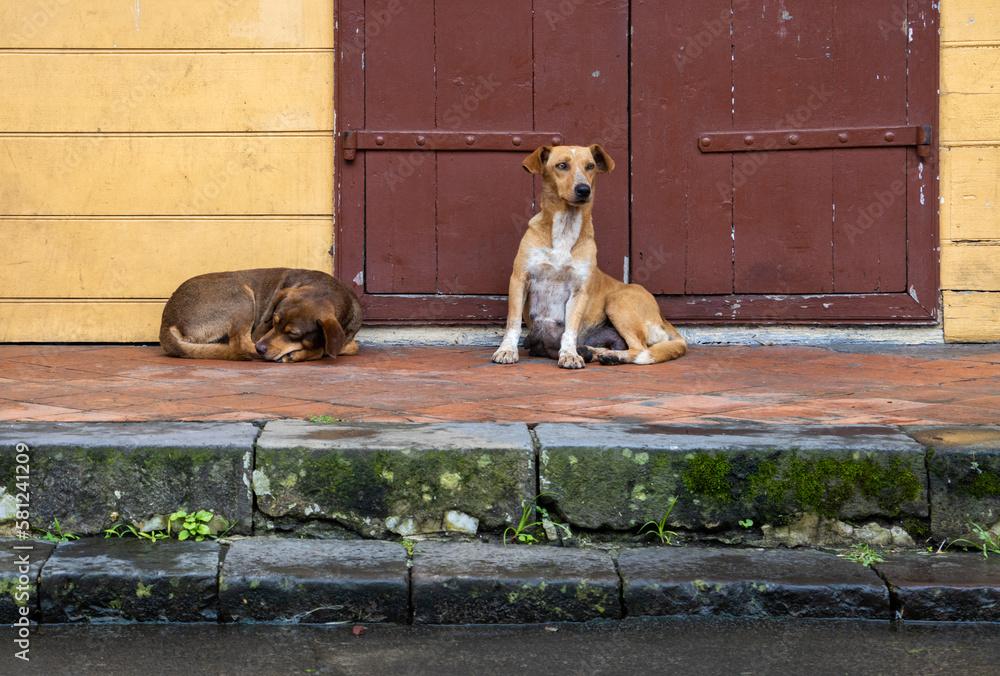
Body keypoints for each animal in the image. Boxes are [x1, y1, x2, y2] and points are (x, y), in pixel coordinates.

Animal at [156, 270, 360, 364]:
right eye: (274, 322)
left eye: (293, 334)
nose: (261, 348)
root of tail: (167, 320)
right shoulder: (260, 332)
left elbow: (350, 346)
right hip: (241, 296)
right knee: (239, 344)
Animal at [492, 143, 688, 372]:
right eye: (562, 165)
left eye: (590, 166)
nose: (584, 189)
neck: (566, 226)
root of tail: (663, 319)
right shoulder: (519, 280)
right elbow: (513, 323)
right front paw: (507, 350)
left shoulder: (579, 290)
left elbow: (570, 330)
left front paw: (569, 354)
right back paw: (596, 352)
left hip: (617, 301)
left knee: (640, 349)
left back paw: (609, 355)